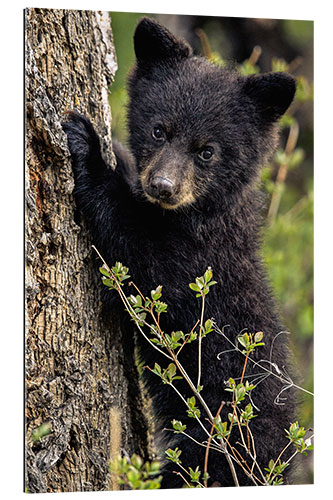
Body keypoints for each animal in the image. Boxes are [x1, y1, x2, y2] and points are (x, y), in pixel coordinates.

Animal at [62, 16, 296, 488]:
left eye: (207, 151)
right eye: (159, 129)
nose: (163, 186)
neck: (198, 216)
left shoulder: (195, 263)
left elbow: (139, 255)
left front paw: (87, 144)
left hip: (213, 454)